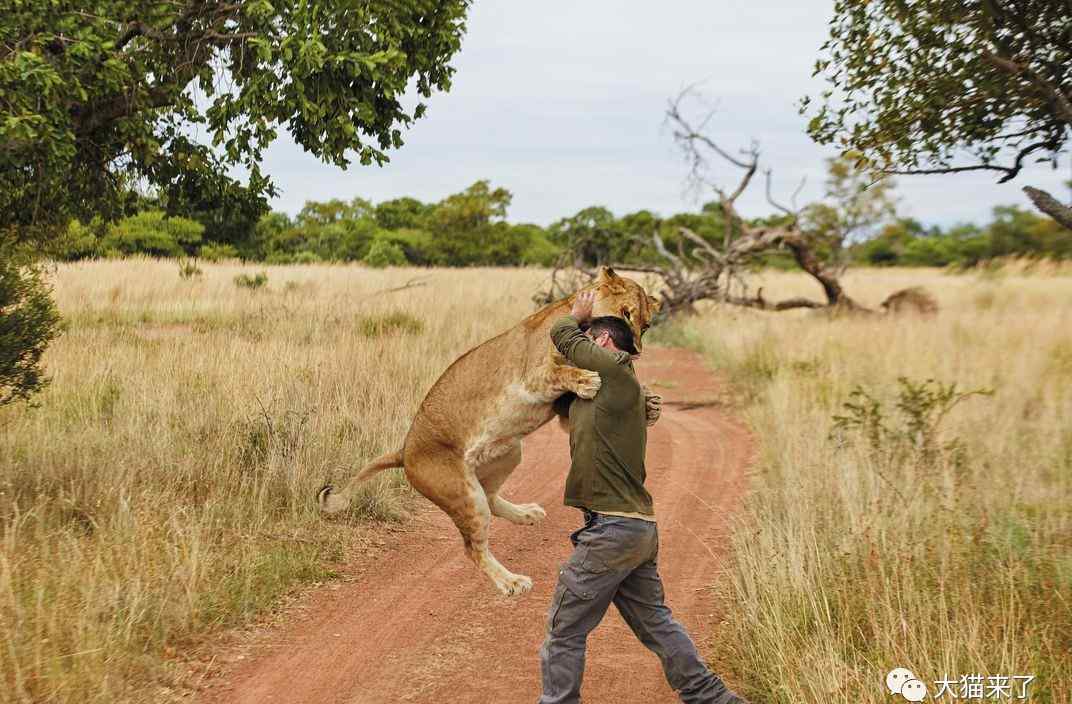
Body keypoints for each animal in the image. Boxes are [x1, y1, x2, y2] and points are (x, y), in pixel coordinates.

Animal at [313, 267, 656, 591]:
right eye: (626, 314)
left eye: (647, 324)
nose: (636, 350)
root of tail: (405, 450)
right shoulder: (531, 377)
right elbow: (560, 372)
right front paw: (588, 380)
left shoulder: (562, 410)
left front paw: (650, 405)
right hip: (463, 492)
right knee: (473, 547)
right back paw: (511, 582)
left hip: (508, 453)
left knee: (490, 497)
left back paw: (527, 515)